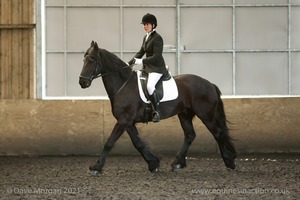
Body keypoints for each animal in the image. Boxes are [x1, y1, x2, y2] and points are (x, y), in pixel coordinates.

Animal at [79, 40, 237, 173]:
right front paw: (153, 163)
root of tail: (209, 84)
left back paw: (229, 162)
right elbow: (138, 143)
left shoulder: (124, 120)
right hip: (184, 114)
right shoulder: (127, 122)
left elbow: (109, 142)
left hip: (206, 115)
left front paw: (96, 167)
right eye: (84, 60)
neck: (123, 84)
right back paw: (177, 163)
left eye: (92, 60)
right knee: (190, 135)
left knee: (218, 133)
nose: (82, 82)